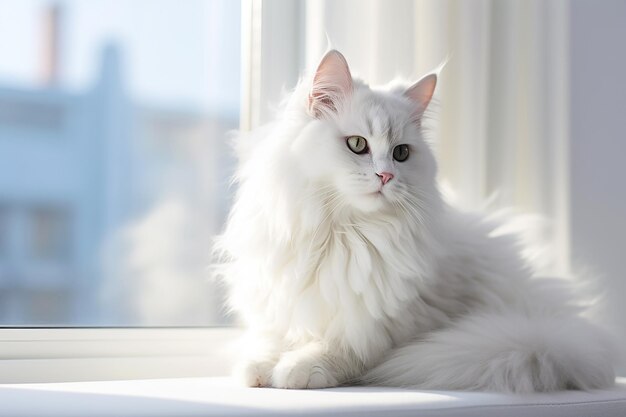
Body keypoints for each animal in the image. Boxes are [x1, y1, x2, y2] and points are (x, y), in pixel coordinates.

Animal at [212, 50, 612, 392]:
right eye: (357, 145)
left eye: (401, 153)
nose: (386, 176)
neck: (343, 233)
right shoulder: (282, 300)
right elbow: (273, 339)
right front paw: (259, 367)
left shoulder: (387, 326)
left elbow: (341, 349)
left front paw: (297, 369)